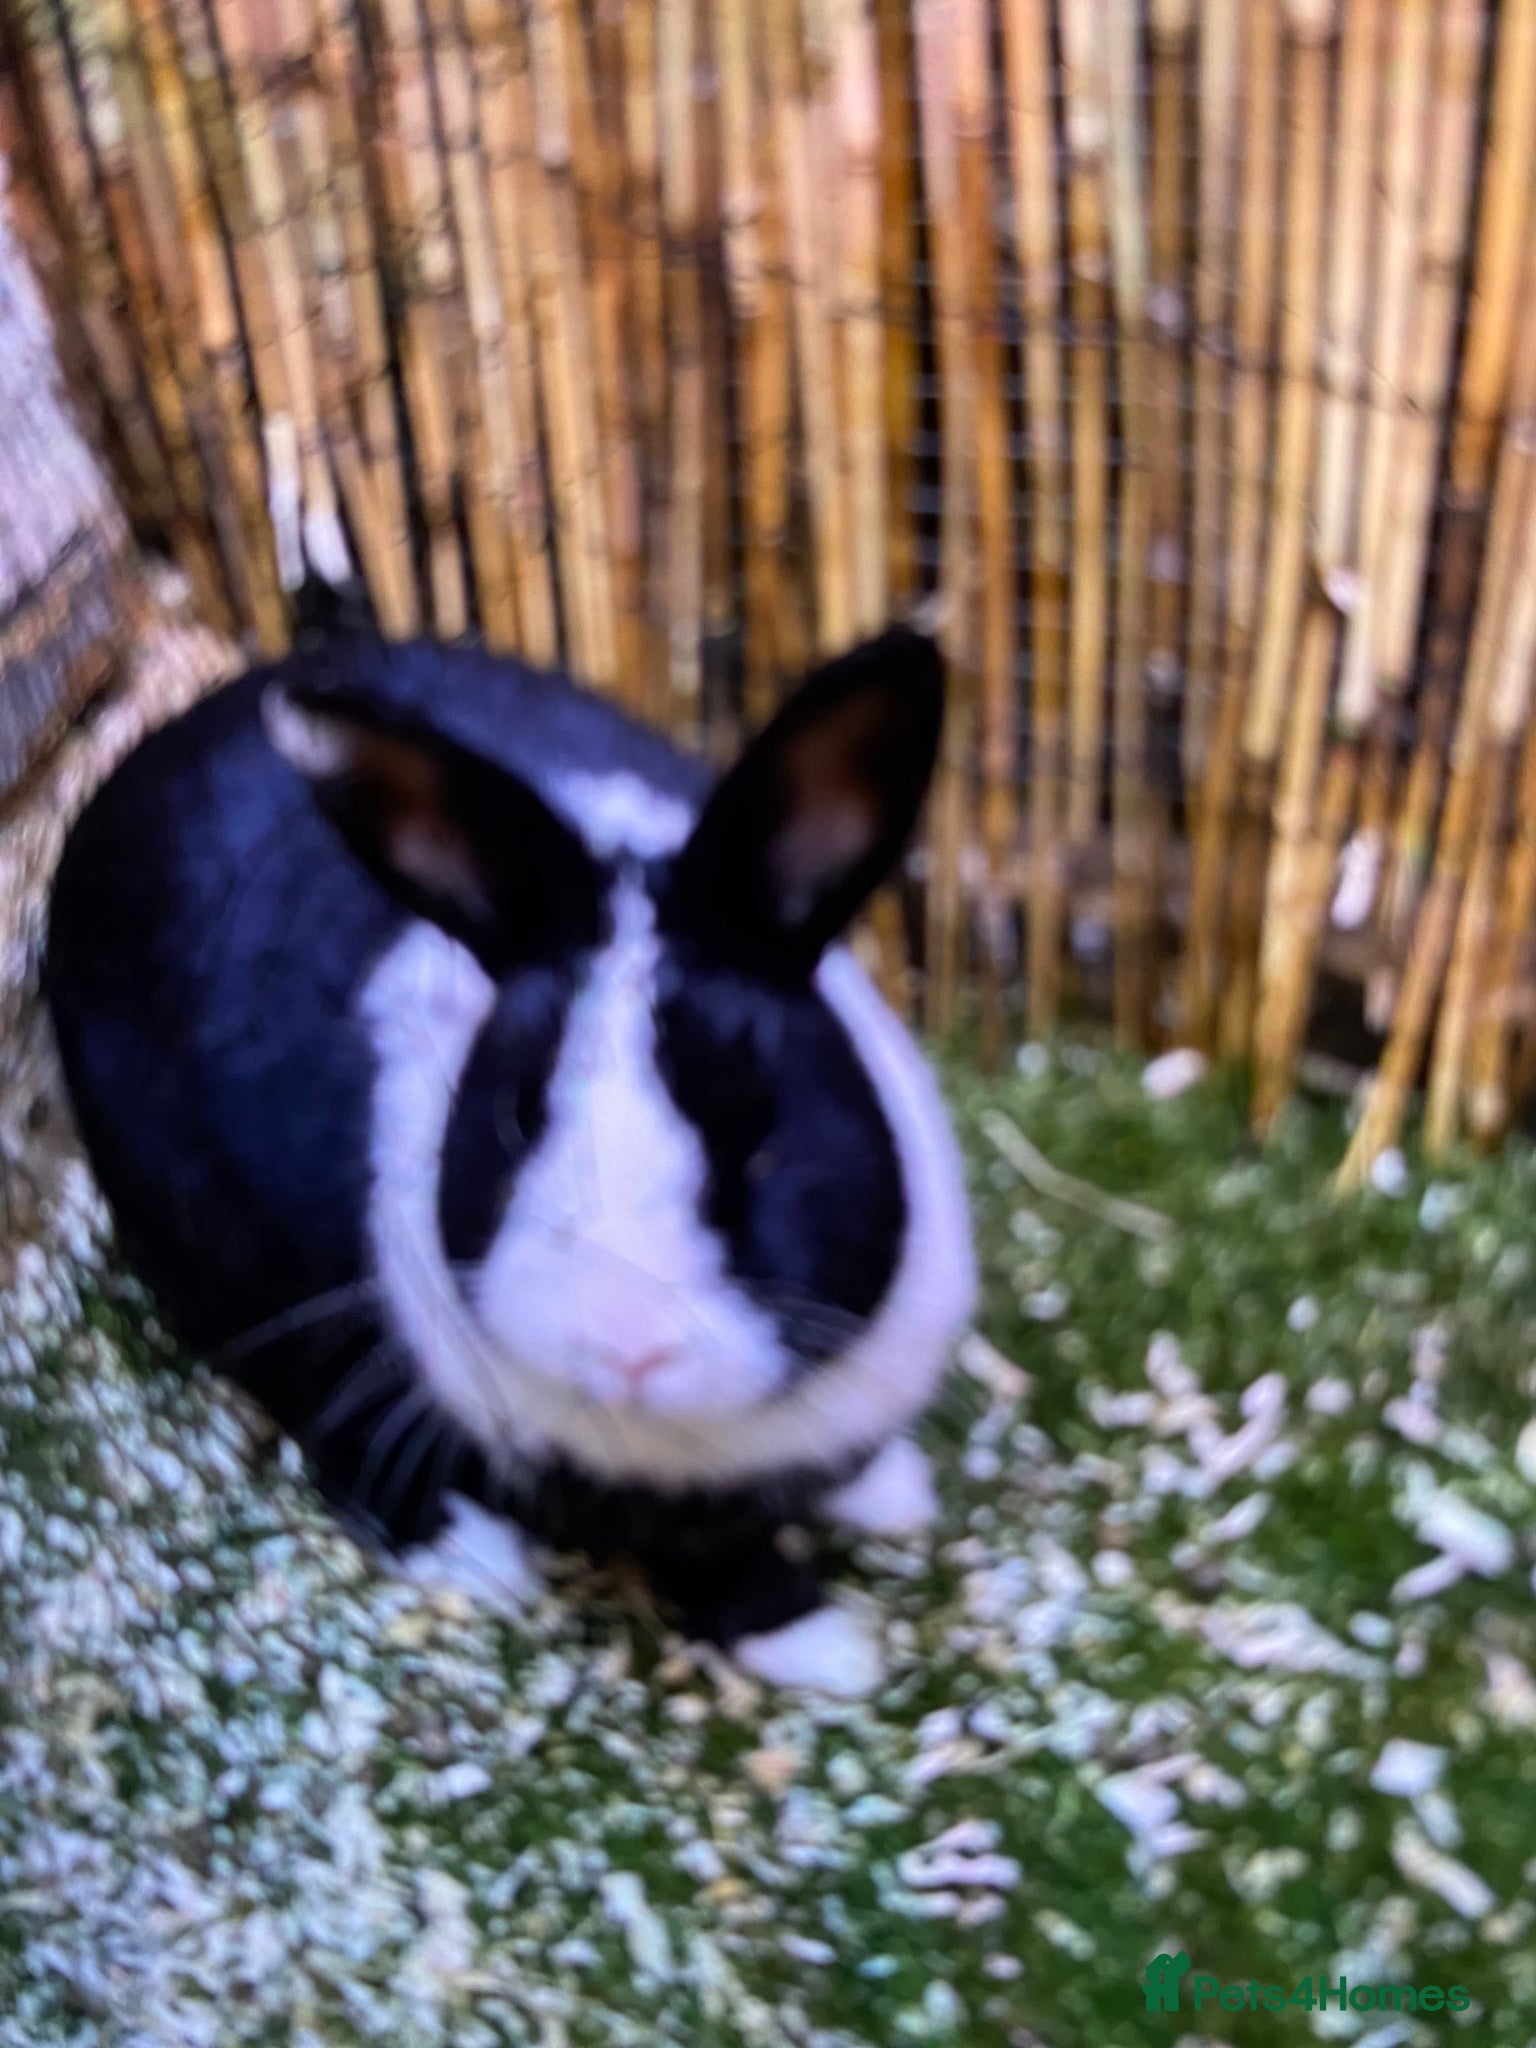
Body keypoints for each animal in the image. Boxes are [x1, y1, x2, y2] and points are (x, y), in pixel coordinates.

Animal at [45, 626, 975, 1697]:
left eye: (763, 1125)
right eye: (519, 1117)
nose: (627, 1346)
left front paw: (893, 1492)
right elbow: (715, 1562)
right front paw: (824, 1649)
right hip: (233, 1267)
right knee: (321, 1417)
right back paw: (474, 1555)